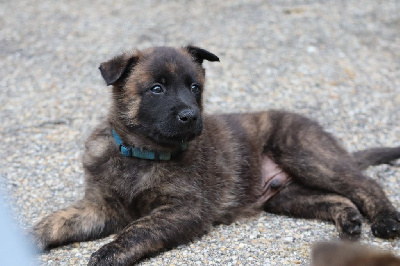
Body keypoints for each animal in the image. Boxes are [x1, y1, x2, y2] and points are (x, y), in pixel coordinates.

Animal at [32, 46, 400, 266]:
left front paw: (109, 253)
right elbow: (56, 220)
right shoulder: (99, 207)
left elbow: (139, 228)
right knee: (337, 197)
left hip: (306, 154)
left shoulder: (186, 208)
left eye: (195, 87)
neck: (142, 153)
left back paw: (385, 220)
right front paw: (29, 238)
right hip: (287, 196)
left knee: (364, 184)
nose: (190, 116)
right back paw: (349, 219)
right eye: (156, 89)